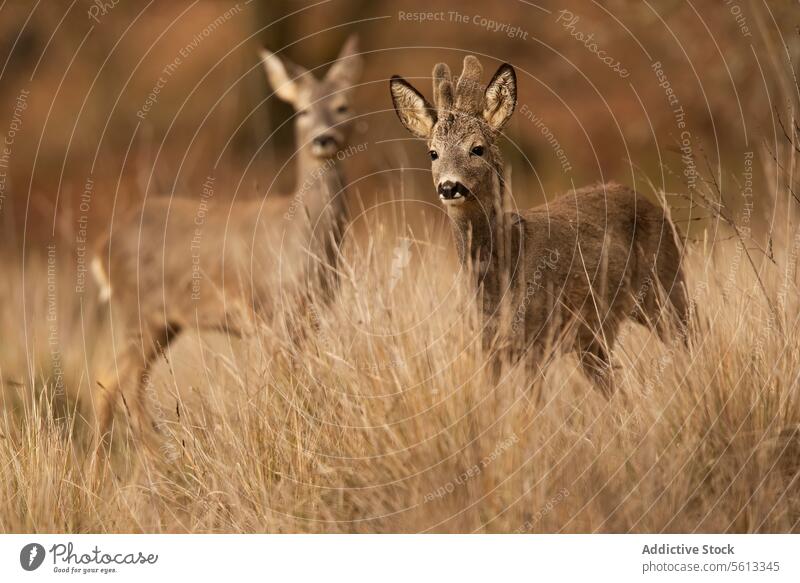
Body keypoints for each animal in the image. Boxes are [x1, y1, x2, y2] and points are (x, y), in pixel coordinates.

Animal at [94, 35, 366, 448]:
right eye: (302, 111)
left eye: (342, 106)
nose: (324, 138)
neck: (301, 240)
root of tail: (102, 248)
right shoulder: (270, 312)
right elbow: (283, 385)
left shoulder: (310, 315)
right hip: (139, 311)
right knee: (116, 384)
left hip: (162, 321)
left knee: (113, 384)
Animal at [390, 57, 688, 396]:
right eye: (433, 153)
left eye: (477, 148)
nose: (450, 186)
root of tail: (657, 209)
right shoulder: (488, 346)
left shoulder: (538, 337)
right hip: (595, 337)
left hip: (667, 288)